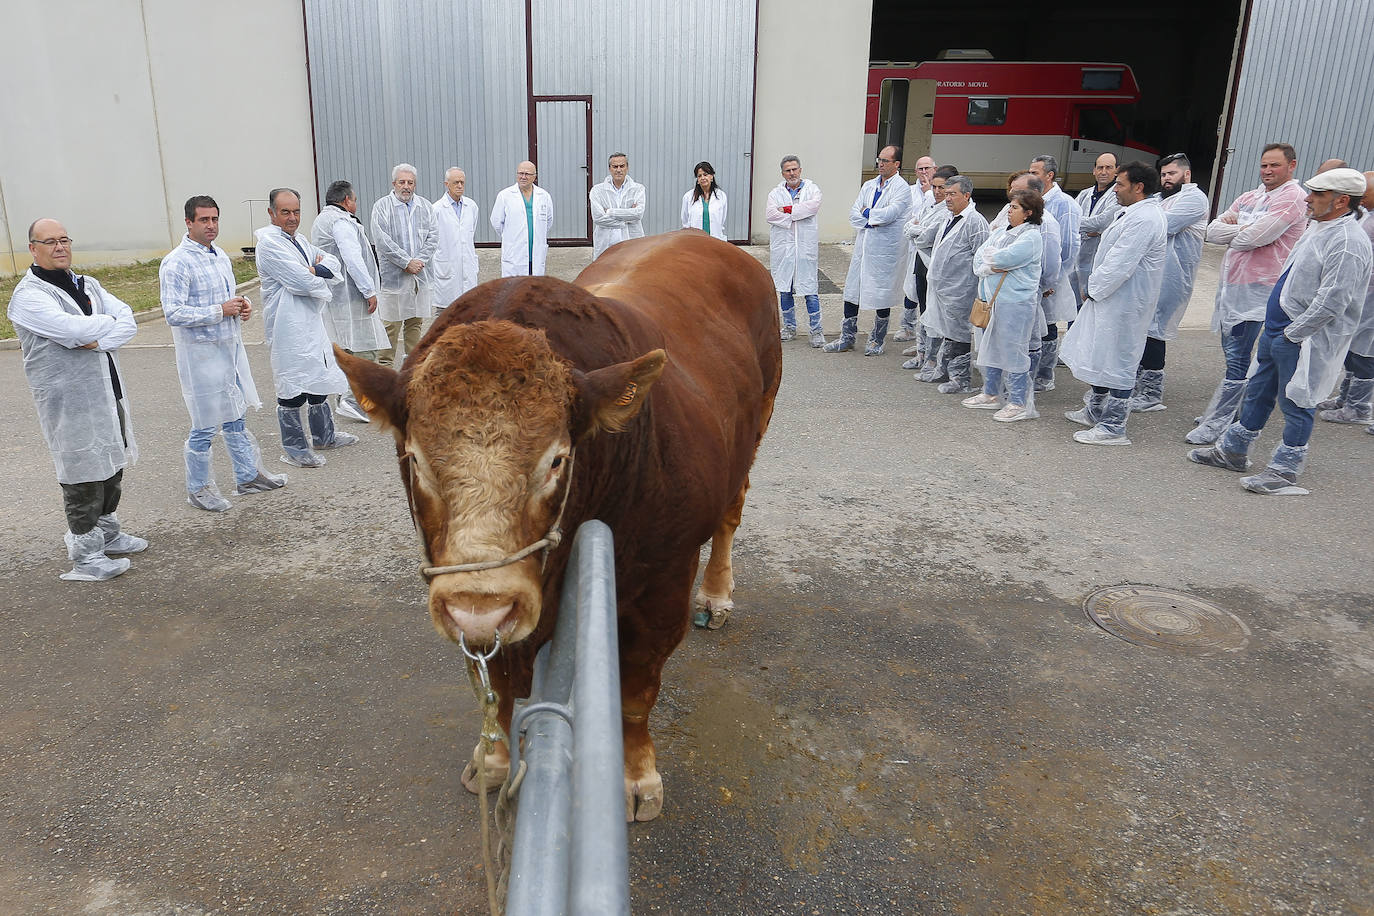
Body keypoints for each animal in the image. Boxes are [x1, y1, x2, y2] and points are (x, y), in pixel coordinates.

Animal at [336, 230, 780, 823]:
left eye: (557, 460)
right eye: (415, 460)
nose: (481, 605)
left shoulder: (664, 584)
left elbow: (638, 690)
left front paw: (637, 776)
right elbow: (494, 683)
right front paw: (493, 761)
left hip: (758, 425)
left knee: (732, 515)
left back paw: (716, 595)